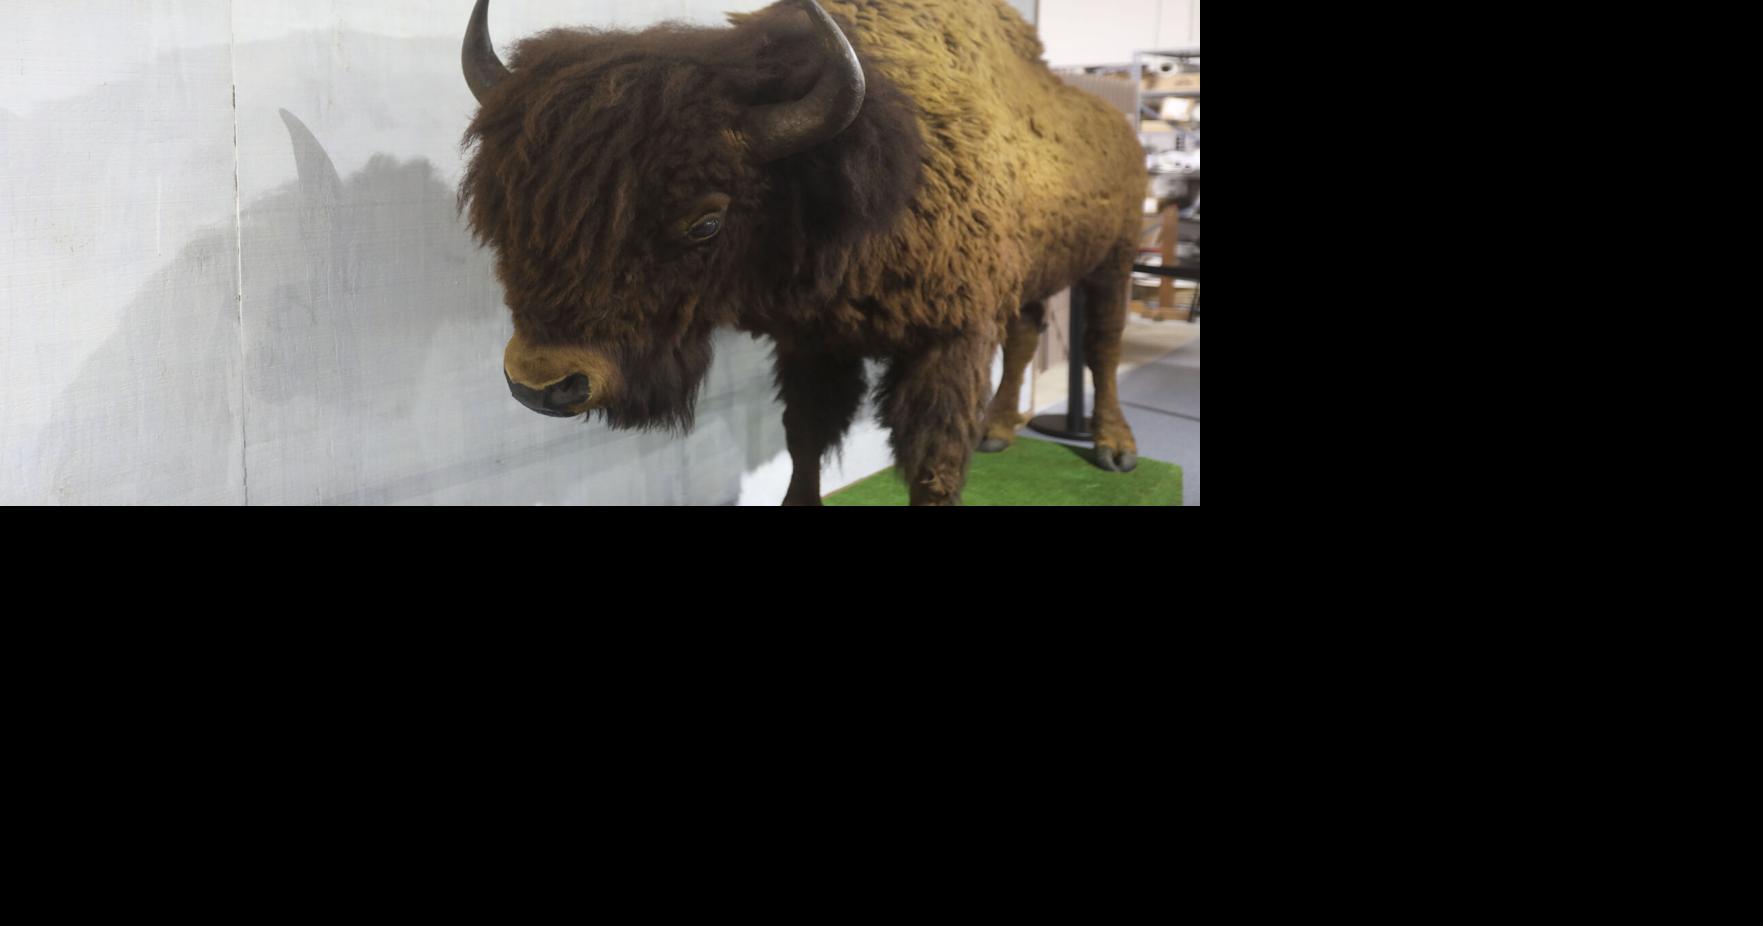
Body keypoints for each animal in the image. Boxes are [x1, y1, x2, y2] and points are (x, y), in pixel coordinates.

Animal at [461, 0, 1144, 505]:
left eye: (706, 223)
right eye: (504, 207)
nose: (543, 385)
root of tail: (1119, 125)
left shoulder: (954, 338)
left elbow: (932, 464)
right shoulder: (812, 342)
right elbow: (806, 439)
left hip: (1115, 258)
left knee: (1103, 346)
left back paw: (1115, 448)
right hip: (1037, 273)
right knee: (1029, 333)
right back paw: (999, 432)